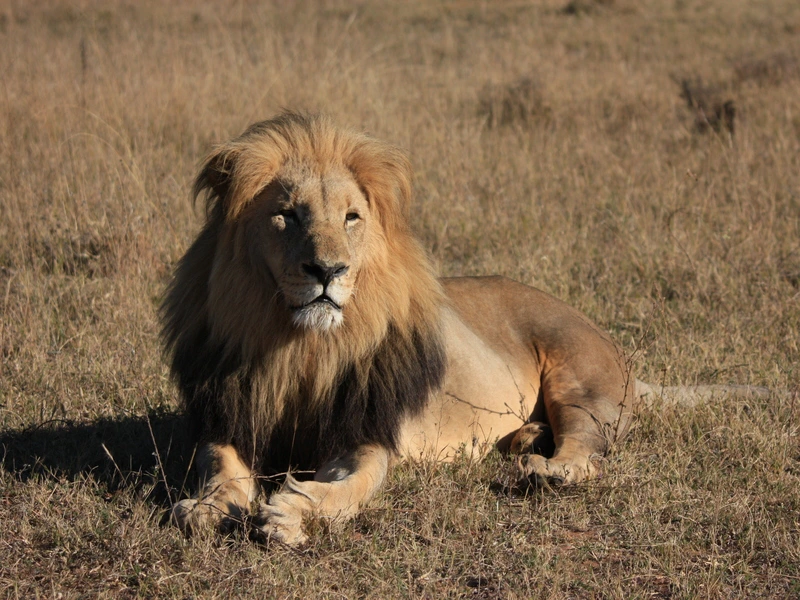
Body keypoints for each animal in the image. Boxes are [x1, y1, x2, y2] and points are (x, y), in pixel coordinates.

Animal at [161, 112, 764, 545]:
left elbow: (352, 485)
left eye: (352, 217)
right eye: (286, 214)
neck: (302, 350)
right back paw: (524, 437)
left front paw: (293, 513)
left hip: (579, 381)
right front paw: (206, 508)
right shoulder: (230, 415)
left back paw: (544, 469)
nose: (327, 271)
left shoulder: (369, 435)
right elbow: (219, 468)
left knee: (589, 454)